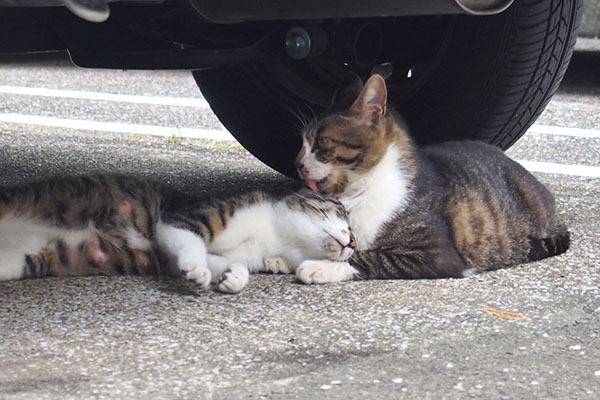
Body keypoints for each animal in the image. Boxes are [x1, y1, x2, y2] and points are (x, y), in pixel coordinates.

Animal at [0, 175, 354, 294]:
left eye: (354, 233)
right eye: (340, 211)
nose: (352, 242)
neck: (271, 237)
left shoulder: (179, 256)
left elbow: (230, 263)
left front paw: (232, 278)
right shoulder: (182, 219)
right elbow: (192, 242)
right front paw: (196, 269)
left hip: (22, 259)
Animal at [292, 72, 568, 284]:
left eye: (321, 143)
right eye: (302, 141)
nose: (297, 163)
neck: (359, 190)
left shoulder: (438, 255)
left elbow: (365, 256)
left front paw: (319, 266)